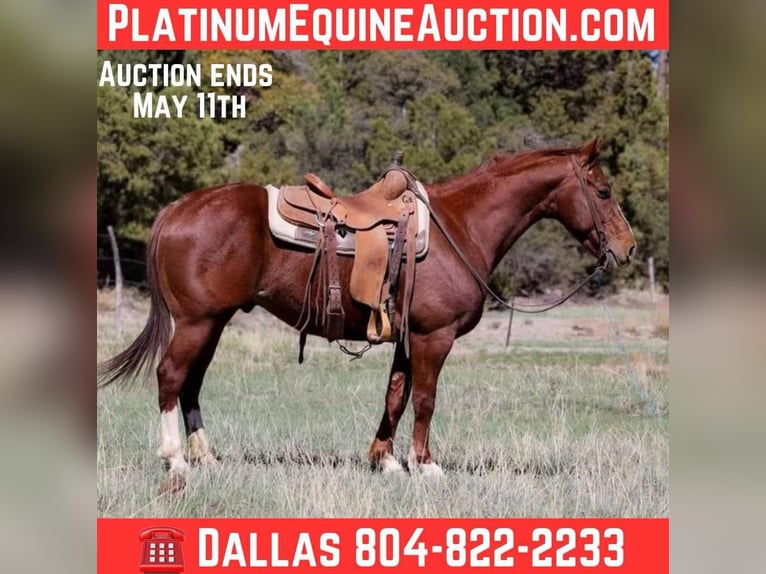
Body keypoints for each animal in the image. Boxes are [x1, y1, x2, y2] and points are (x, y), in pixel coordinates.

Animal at [99, 138, 635, 482]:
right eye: (604, 192)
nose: (627, 248)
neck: (460, 228)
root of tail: (176, 209)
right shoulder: (433, 337)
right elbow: (425, 400)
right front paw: (426, 465)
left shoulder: (408, 338)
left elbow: (395, 397)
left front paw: (386, 460)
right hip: (197, 321)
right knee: (171, 377)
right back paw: (175, 460)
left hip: (212, 323)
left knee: (191, 383)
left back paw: (206, 459)